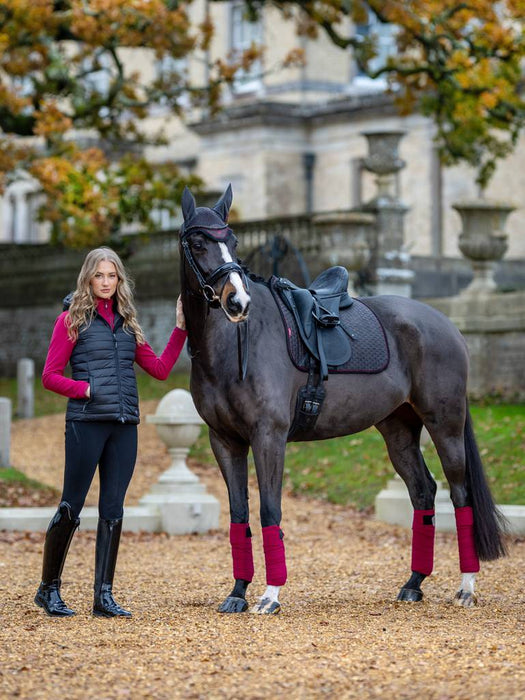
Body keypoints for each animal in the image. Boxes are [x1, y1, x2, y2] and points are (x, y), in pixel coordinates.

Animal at [178, 185, 506, 612]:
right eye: (198, 242)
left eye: (231, 241)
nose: (237, 302)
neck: (232, 346)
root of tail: (446, 325)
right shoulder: (225, 441)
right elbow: (240, 514)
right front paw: (237, 593)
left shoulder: (269, 437)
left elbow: (269, 509)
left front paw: (270, 595)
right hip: (399, 431)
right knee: (424, 493)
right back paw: (413, 583)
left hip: (445, 425)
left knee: (460, 494)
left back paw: (466, 587)